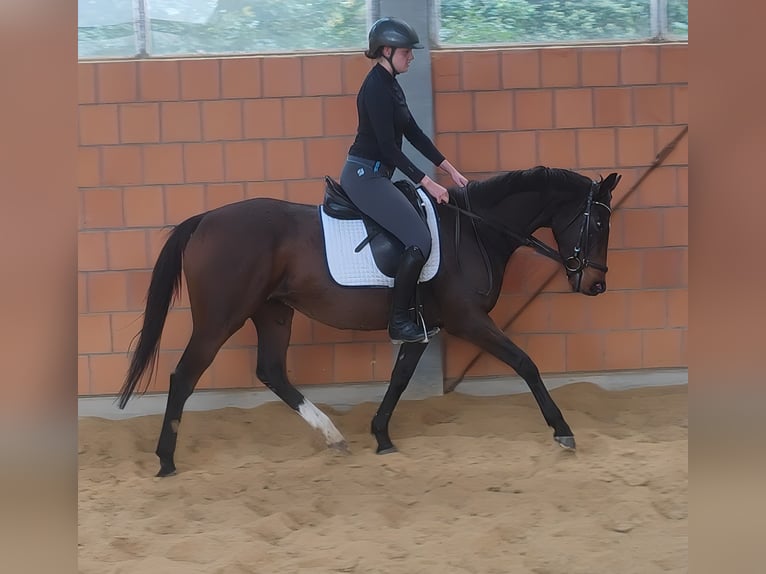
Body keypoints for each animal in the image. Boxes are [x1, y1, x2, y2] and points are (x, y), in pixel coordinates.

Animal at [117, 165, 620, 477]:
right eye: (598, 225)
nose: (596, 284)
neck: (474, 231)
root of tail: (204, 220)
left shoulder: (423, 327)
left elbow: (399, 378)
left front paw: (381, 436)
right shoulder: (468, 320)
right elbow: (525, 364)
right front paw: (562, 431)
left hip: (273, 311)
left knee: (272, 371)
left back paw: (334, 438)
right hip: (222, 317)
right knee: (185, 375)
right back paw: (166, 461)